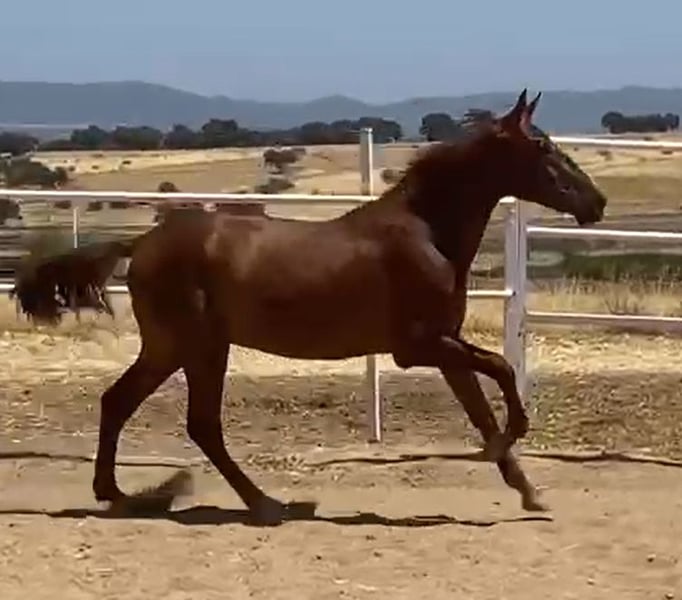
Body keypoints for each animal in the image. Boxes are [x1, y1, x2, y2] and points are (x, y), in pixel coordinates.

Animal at [11, 89, 607, 524]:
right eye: (543, 147)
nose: (596, 203)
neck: (427, 233)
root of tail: (142, 243)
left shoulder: (444, 347)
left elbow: (481, 410)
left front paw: (530, 492)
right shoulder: (418, 346)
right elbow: (503, 369)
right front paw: (515, 438)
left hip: (171, 347)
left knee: (120, 402)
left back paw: (115, 493)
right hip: (199, 346)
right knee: (200, 423)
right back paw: (263, 504)